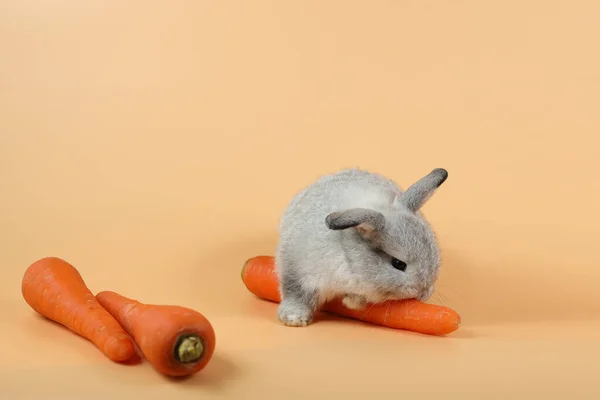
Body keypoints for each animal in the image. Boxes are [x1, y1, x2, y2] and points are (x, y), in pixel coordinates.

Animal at [274, 167, 448, 326]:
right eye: (398, 263)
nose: (424, 293)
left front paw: (351, 301)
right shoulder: (298, 270)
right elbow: (295, 292)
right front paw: (294, 319)